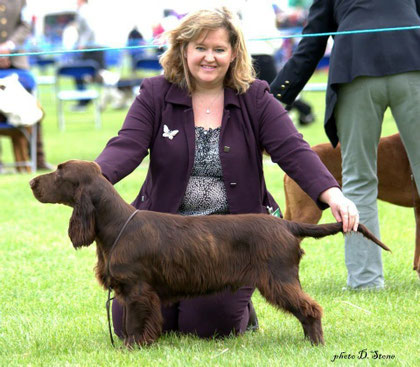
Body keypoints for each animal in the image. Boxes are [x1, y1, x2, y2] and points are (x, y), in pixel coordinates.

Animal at [30, 160, 390, 348]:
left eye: (59, 172)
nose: (32, 182)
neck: (117, 225)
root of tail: (288, 225)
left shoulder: (136, 289)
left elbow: (133, 323)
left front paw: (132, 349)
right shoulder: (137, 291)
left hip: (279, 279)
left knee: (311, 308)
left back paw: (315, 344)